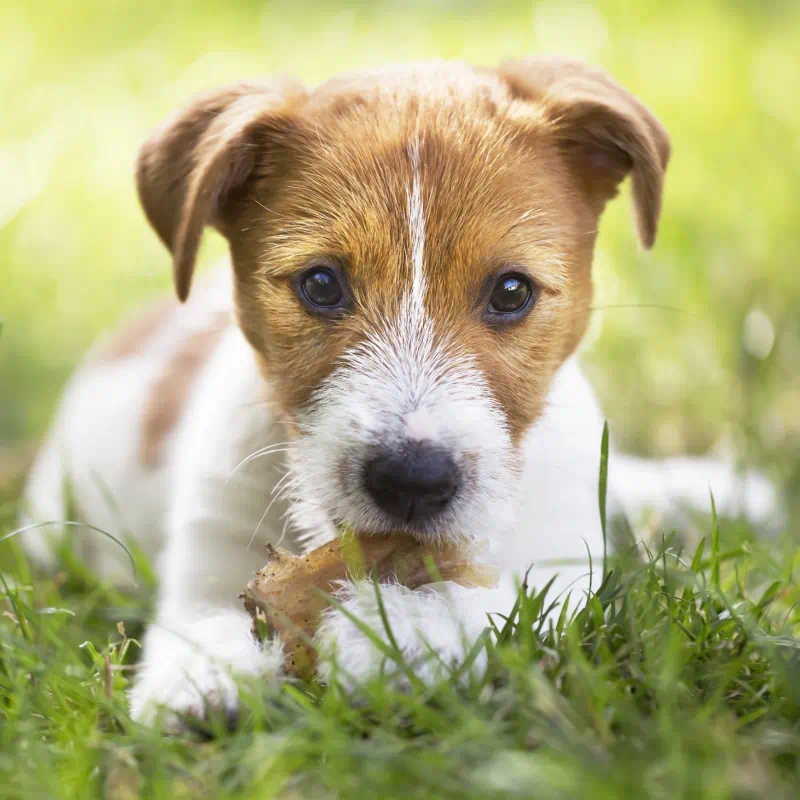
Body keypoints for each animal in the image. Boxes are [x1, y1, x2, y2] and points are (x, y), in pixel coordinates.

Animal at [20, 59, 776, 724]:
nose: (413, 479)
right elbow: (202, 624)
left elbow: (508, 600)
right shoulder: (209, 558)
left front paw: (394, 632)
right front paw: (203, 682)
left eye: (511, 291)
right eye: (321, 285)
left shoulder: (567, 567)